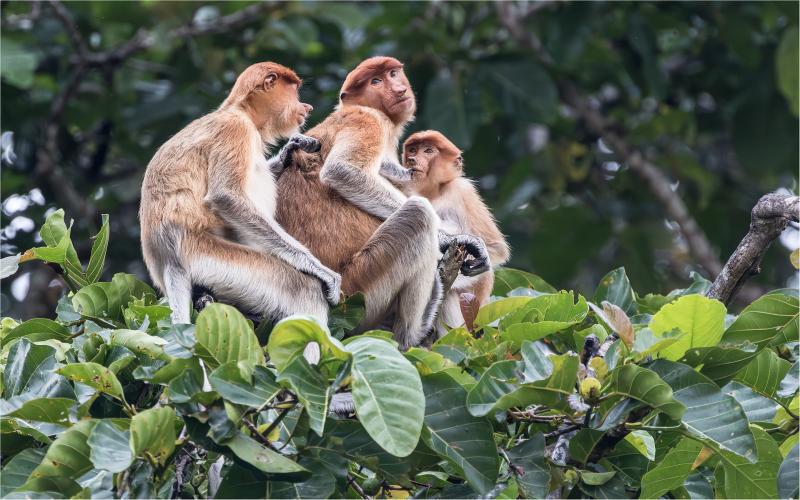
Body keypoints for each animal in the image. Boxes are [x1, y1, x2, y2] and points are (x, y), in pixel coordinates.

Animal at [139, 62, 341, 332]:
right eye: (294, 91)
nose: (306, 107)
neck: (238, 110)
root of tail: (167, 260)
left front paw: (289, 150)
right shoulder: (236, 130)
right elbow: (226, 196)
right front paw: (321, 271)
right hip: (209, 257)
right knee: (303, 290)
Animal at [275, 57, 489, 350]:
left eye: (393, 73)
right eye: (375, 81)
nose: (399, 90)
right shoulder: (369, 120)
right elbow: (343, 171)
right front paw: (450, 239)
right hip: (360, 288)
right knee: (418, 214)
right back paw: (412, 331)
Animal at [400, 130, 510, 327]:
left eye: (428, 151)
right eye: (412, 150)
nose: (412, 159)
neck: (433, 192)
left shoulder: (461, 190)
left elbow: (497, 248)